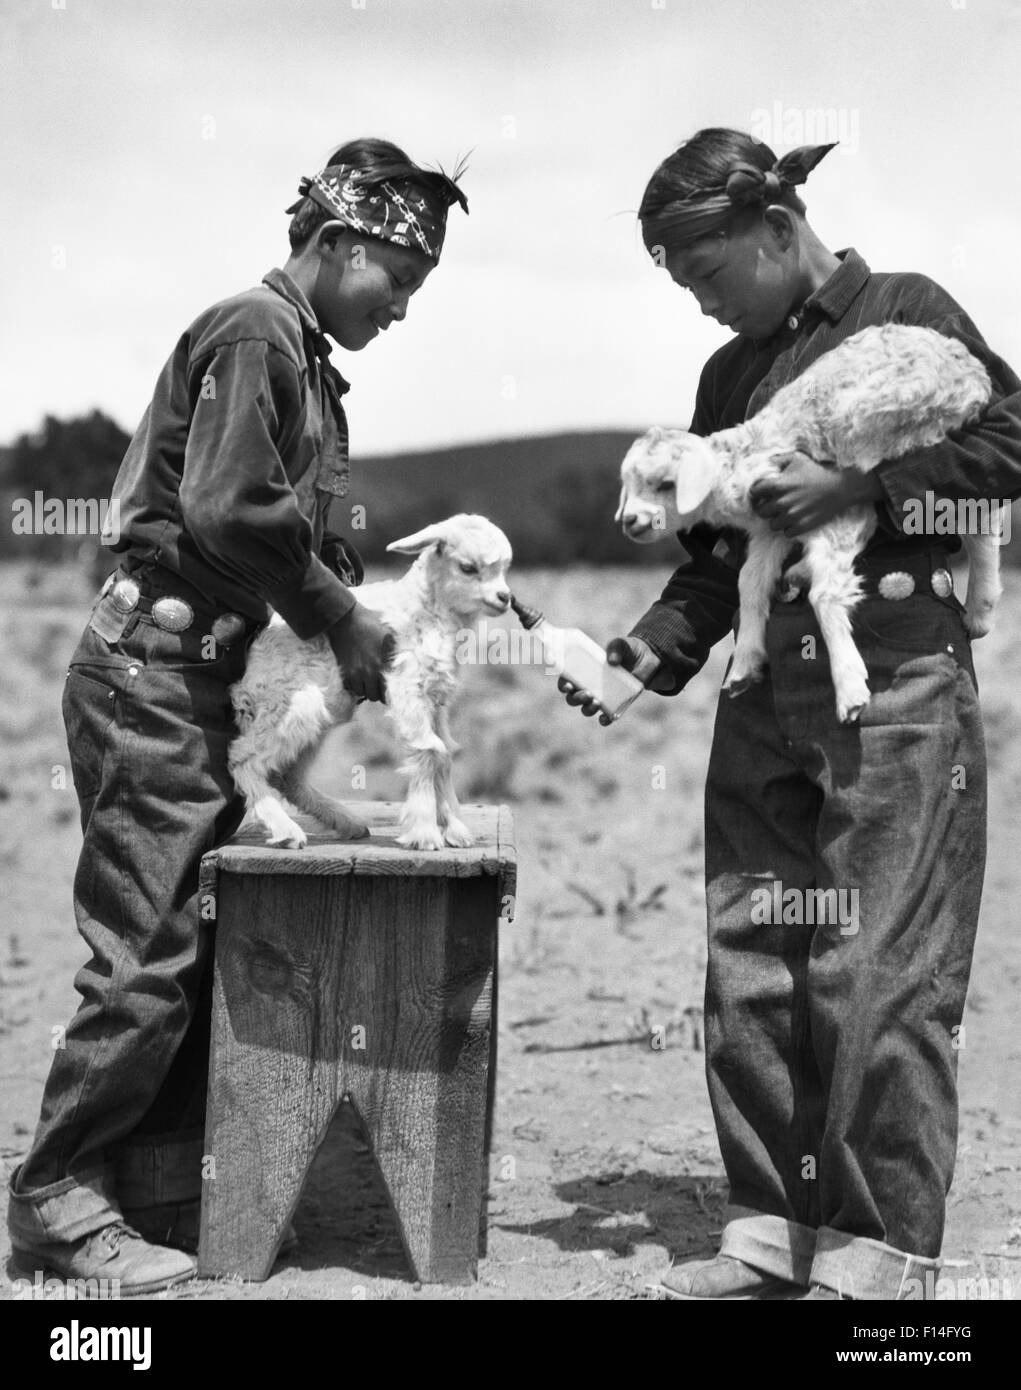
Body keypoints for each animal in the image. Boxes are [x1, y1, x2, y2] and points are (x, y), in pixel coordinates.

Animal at [233, 517, 519, 850]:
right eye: (468, 567)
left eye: (504, 568)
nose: (504, 598)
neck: (426, 611)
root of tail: (253, 658)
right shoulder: (408, 687)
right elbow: (429, 751)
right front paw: (425, 834)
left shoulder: (435, 700)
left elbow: (444, 753)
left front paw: (456, 830)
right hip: (290, 705)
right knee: (243, 759)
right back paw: (287, 830)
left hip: (324, 711)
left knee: (286, 775)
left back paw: (347, 822)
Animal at [613, 321, 1000, 722]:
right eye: (628, 483)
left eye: (666, 483)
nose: (629, 521)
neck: (744, 461)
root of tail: (967, 361)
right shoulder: (769, 529)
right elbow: (749, 584)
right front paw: (744, 665)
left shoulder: (837, 511)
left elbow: (826, 595)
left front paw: (850, 688)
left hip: (923, 435)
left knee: (978, 514)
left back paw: (980, 609)